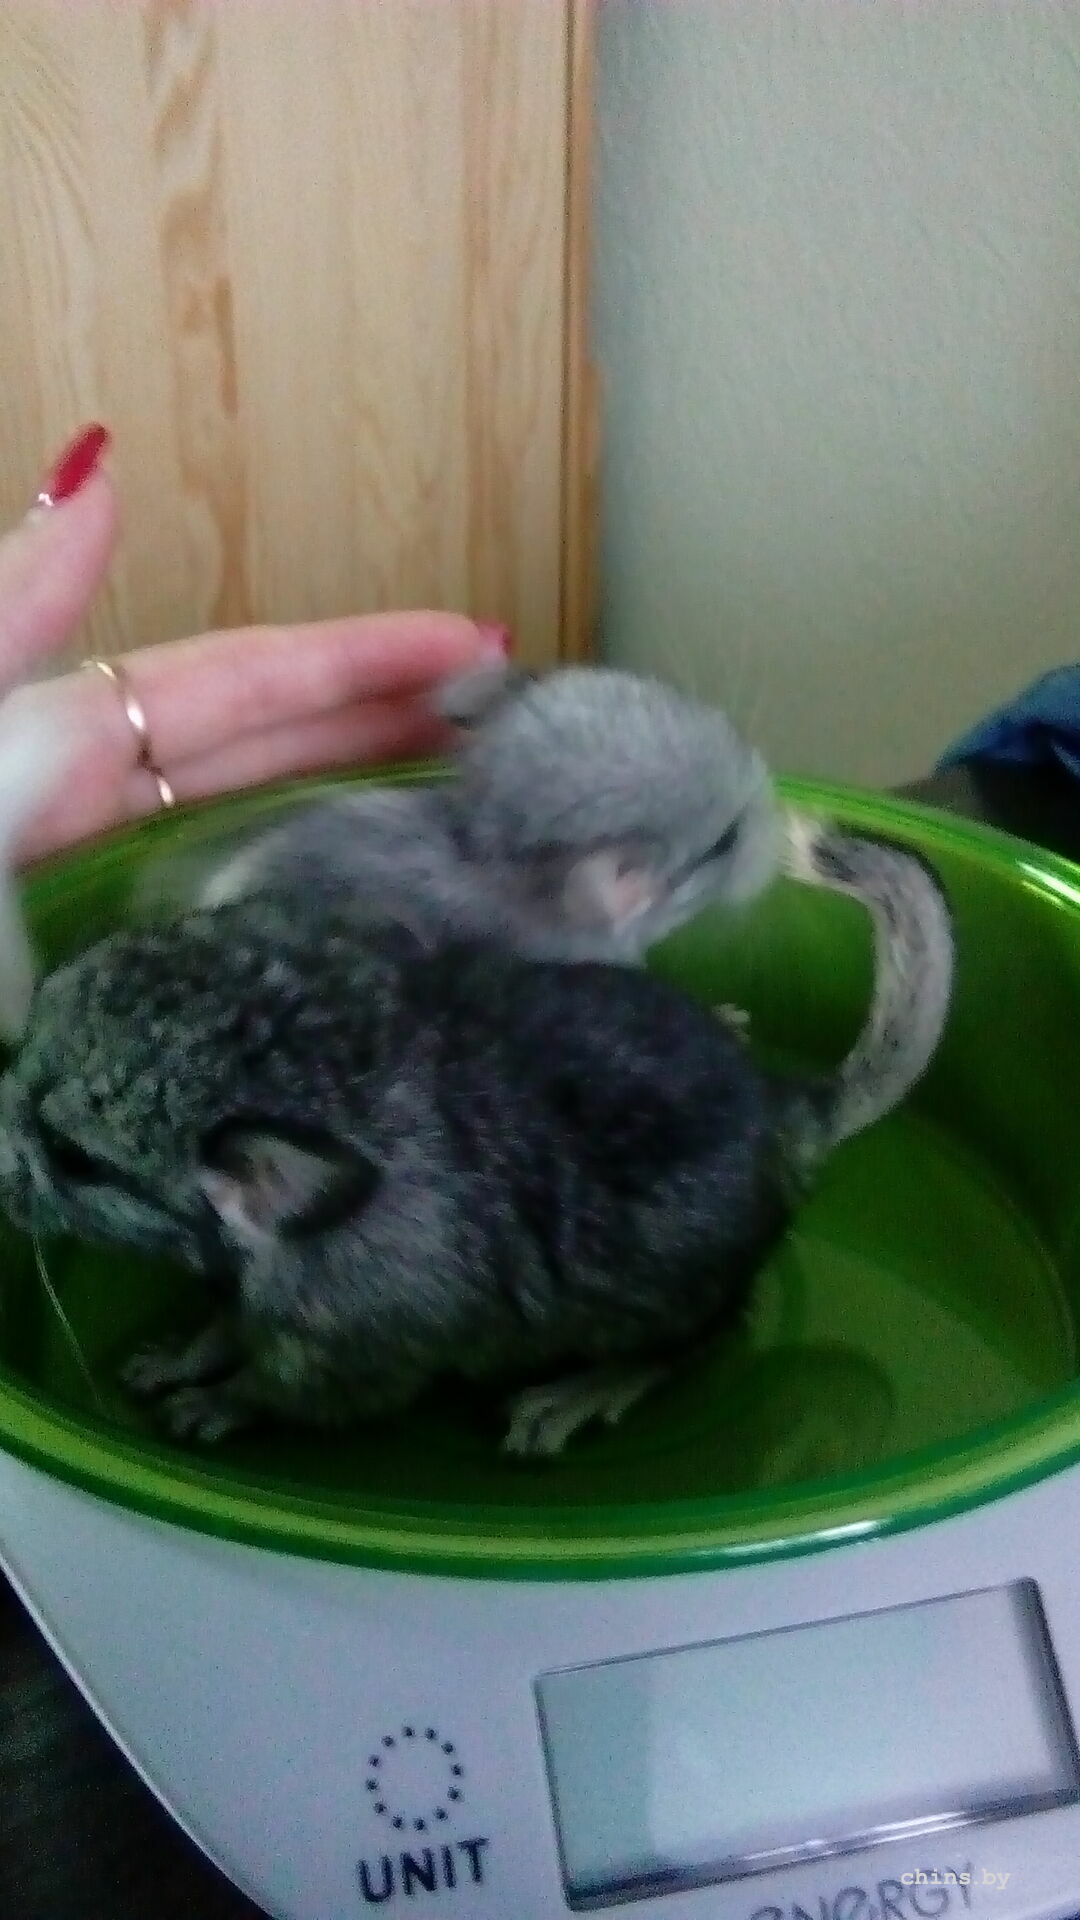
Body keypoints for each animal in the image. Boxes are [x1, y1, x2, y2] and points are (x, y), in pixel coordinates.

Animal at [0, 813, 952, 1456]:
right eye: (35, 1021)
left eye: (73, 1158)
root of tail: (791, 1109)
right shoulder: (252, 1296)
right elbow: (220, 1332)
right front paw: (162, 1362)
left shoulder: (359, 1354)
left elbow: (271, 1386)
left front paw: (205, 1410)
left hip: (671, 1292)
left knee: (694, 1341)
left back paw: (571, 1396)